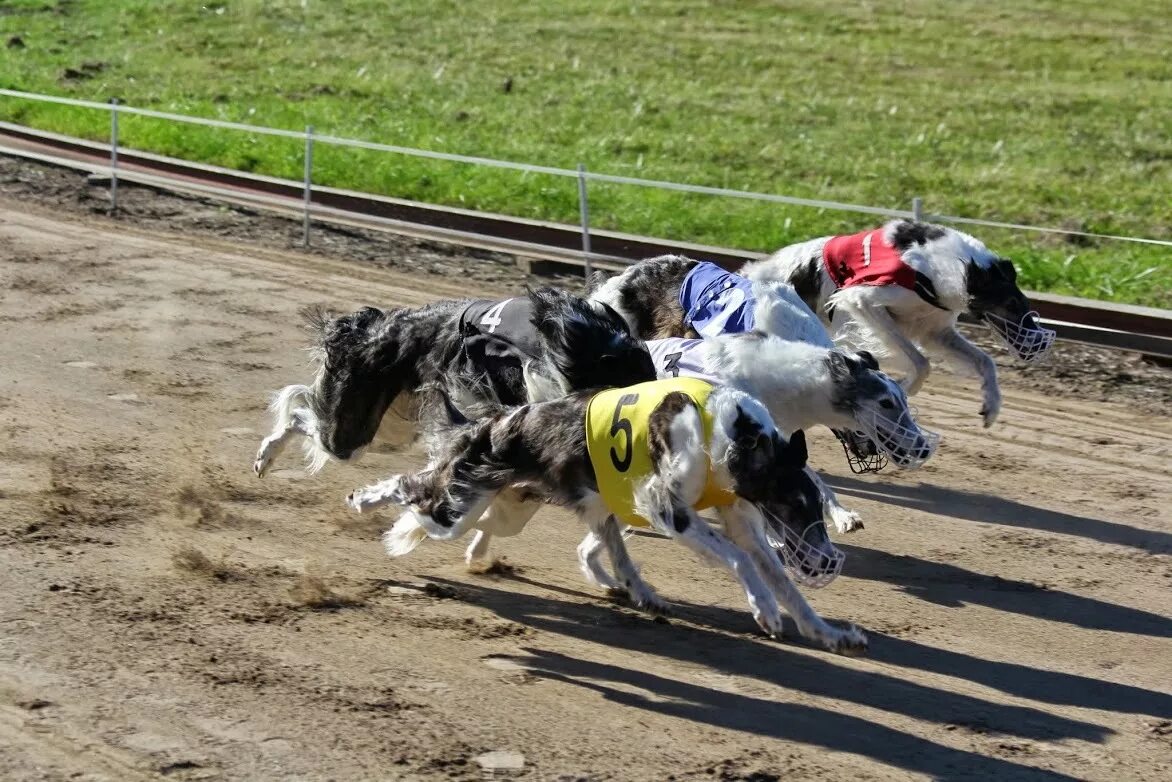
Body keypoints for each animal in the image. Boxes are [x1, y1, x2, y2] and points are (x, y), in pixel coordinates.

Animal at [253, 287, 656, 478]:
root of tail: (371, 325)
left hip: (390, 425)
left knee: (304, 407)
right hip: (351, 431)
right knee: (301, 416)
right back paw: (265, 457)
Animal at [342, 375, 867, 656]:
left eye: (816, 507)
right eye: (795, 504)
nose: (825, 561)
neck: (726, 431)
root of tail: (493, 422)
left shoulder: (738, 518)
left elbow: (785, 584)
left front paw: (831, 633)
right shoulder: (666, 507)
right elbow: (741, 562)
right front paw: (765, 610)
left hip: (520, 507)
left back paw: (639, 593)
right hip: (457, 510)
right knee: (410, 488)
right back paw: (362, 500)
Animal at [745, 219, 1059, 429]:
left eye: (1025, 303)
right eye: (1012, 305)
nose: (1037, 344)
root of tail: (753, 273)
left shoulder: (935, 330)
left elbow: (985, 361)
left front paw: (991, 407)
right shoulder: (864, 300)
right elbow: (921, 363)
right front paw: (902, 390)